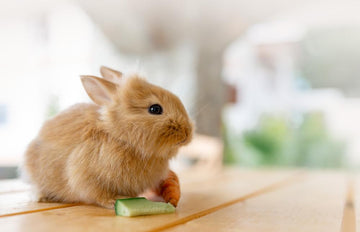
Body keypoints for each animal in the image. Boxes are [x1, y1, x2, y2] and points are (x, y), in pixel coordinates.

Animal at [23, 65, 193, 208]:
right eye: (155, 109)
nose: (187, 133)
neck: (120, 137)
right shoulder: (86, 177)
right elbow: (98, 194)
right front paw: (115, 201)